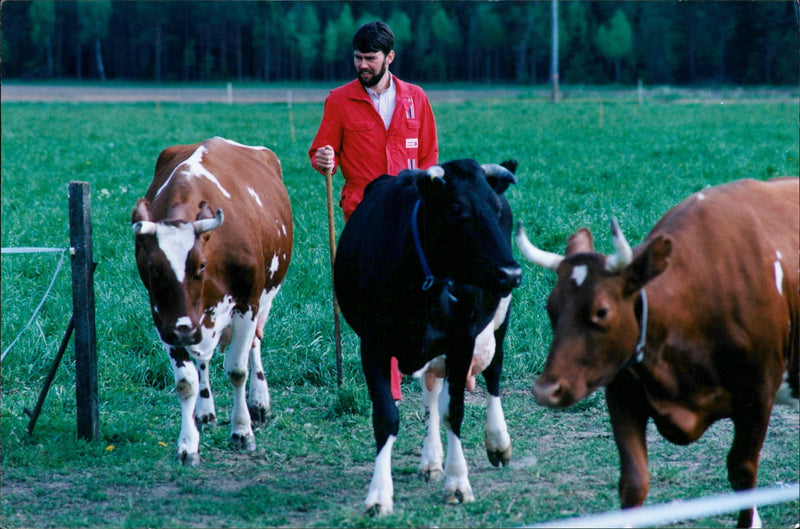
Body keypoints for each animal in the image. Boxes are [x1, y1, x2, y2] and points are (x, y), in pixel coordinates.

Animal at [131, 137, 294, 466]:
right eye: (153, 268)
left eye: (201, 265)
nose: (183, 330)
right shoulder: (164, 318)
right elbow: (186, 381)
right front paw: (187, 445)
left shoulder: (247, 304)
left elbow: (237, 370)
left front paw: (242, 431)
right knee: (203, 360)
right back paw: (205, 414)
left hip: (264, 300)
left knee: (254, 344)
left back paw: (259, 402)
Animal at [334, 157, 520, 512]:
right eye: (457, 208)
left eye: (496, 208)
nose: (511, 272)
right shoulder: (373, 345)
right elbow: (387, 417)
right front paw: (379, 494)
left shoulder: (463, 341)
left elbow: (455, 411)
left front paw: (458, 483)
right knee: (431, 390)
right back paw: (432, 460)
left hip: (499, 319)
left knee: (494, 372)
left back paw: (497, 441)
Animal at [516, 178, 796, 528]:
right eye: (550, 308)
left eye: (602, 311)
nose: (546, 390)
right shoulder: (623, 391)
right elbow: (633, 483)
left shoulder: (758, 394)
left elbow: (742, 474)